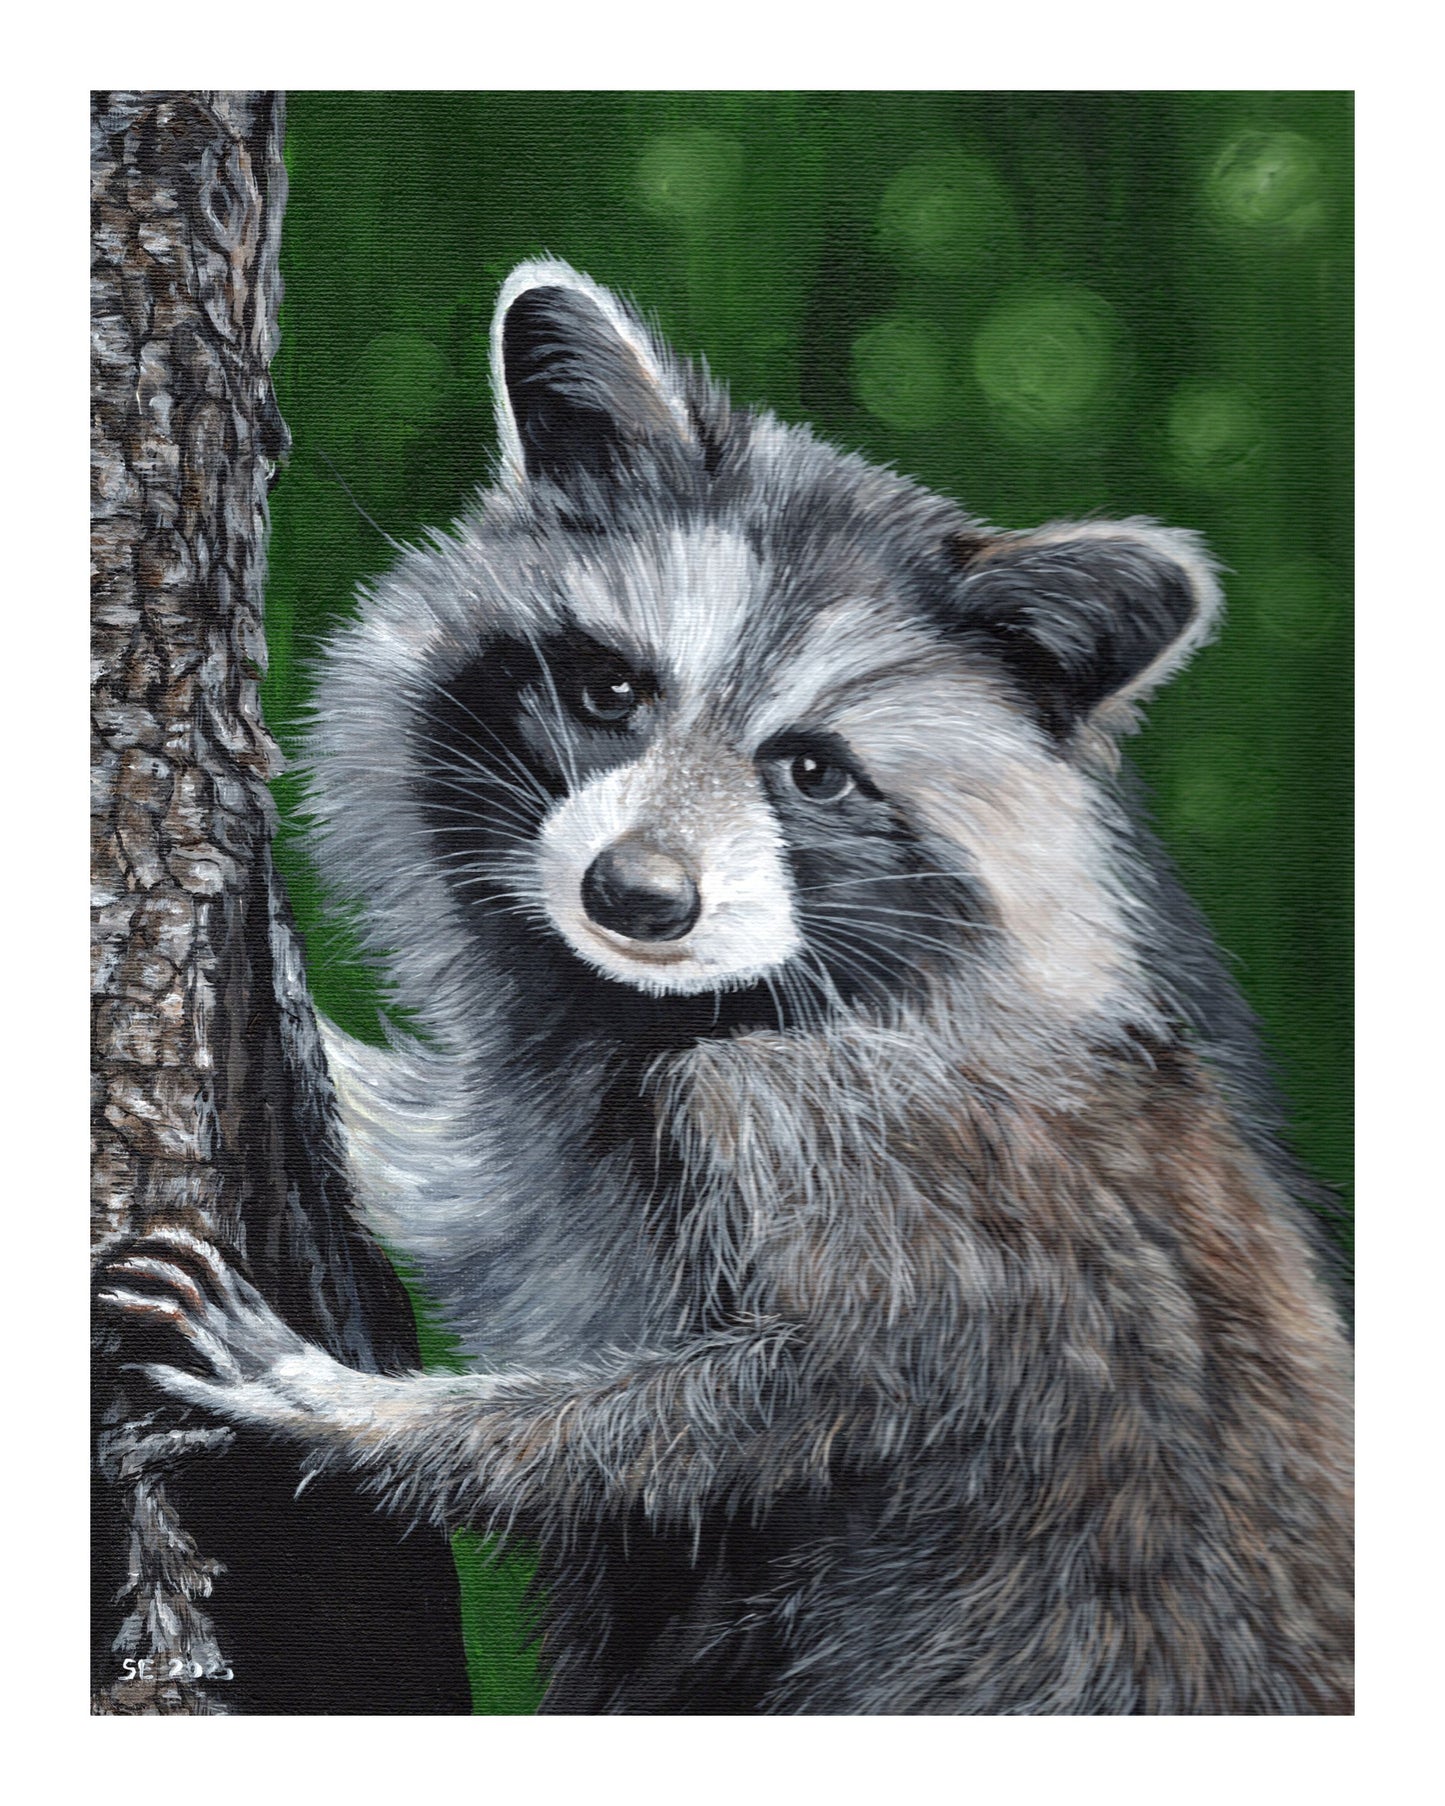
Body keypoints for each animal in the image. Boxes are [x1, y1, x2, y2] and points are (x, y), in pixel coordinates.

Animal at [101, 260, 1353, 1714]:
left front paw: (347, 1408)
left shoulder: (878, 1157)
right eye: (609, 688)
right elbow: (480, 1189)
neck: (678, 1006)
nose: (636, 897)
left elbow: (760, 1411)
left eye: (811, 771)